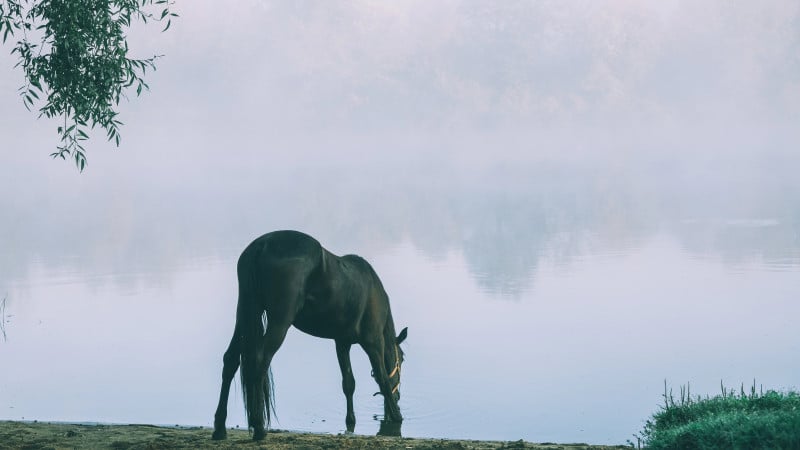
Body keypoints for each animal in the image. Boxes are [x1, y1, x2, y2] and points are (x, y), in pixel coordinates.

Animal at [211, 230, 406, 442]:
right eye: (402, 359)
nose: (398, 397)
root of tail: (262, 245)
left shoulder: (342, 343)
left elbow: (348, 383)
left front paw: (351, 420)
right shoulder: (373, 342)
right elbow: (383, 379)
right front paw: (397, 416)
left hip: (245, 312)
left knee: (231, 360)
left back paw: (220, 427)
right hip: (279, 322)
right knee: (260, 361)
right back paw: (259, 427)